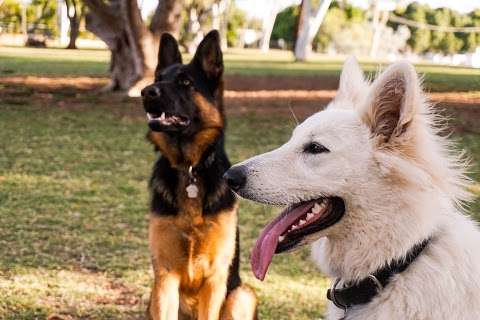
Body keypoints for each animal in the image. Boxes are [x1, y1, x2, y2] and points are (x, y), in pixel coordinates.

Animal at [141, 30, 256, 320]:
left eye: (185, 82)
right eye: (159, 79)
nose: (145, 92)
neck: (190, 169)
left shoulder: (215, 280)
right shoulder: (165, 278)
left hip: (242, 295)